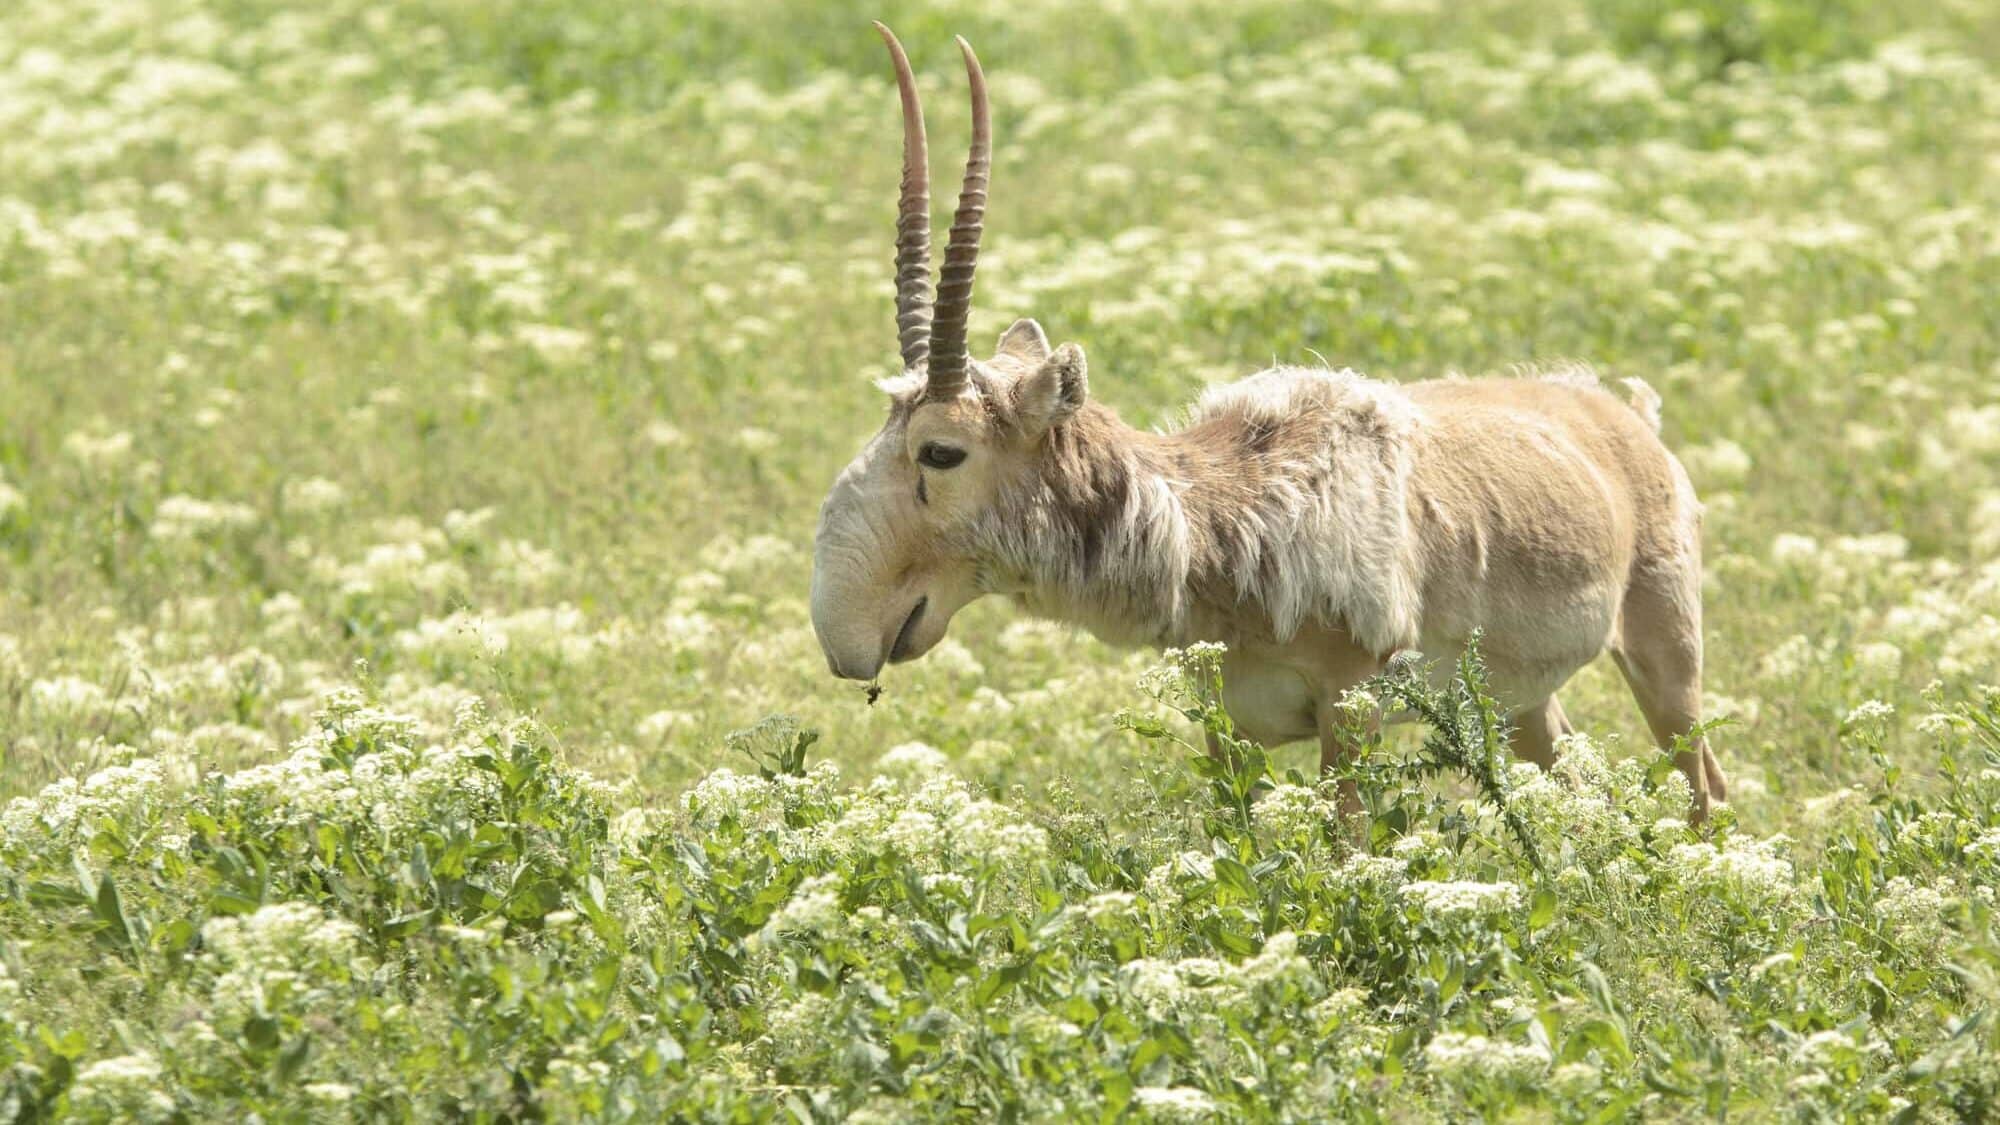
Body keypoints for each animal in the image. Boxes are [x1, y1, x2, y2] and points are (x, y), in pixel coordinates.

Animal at [810, 25, 1727, 820]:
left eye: (941, 450)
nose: (846, 636)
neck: (1225, 508)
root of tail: (1621, 418)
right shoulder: (1225, 725)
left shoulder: (1348, 710)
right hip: (1523, 703)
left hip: (1666, 656)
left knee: (1704, 784)